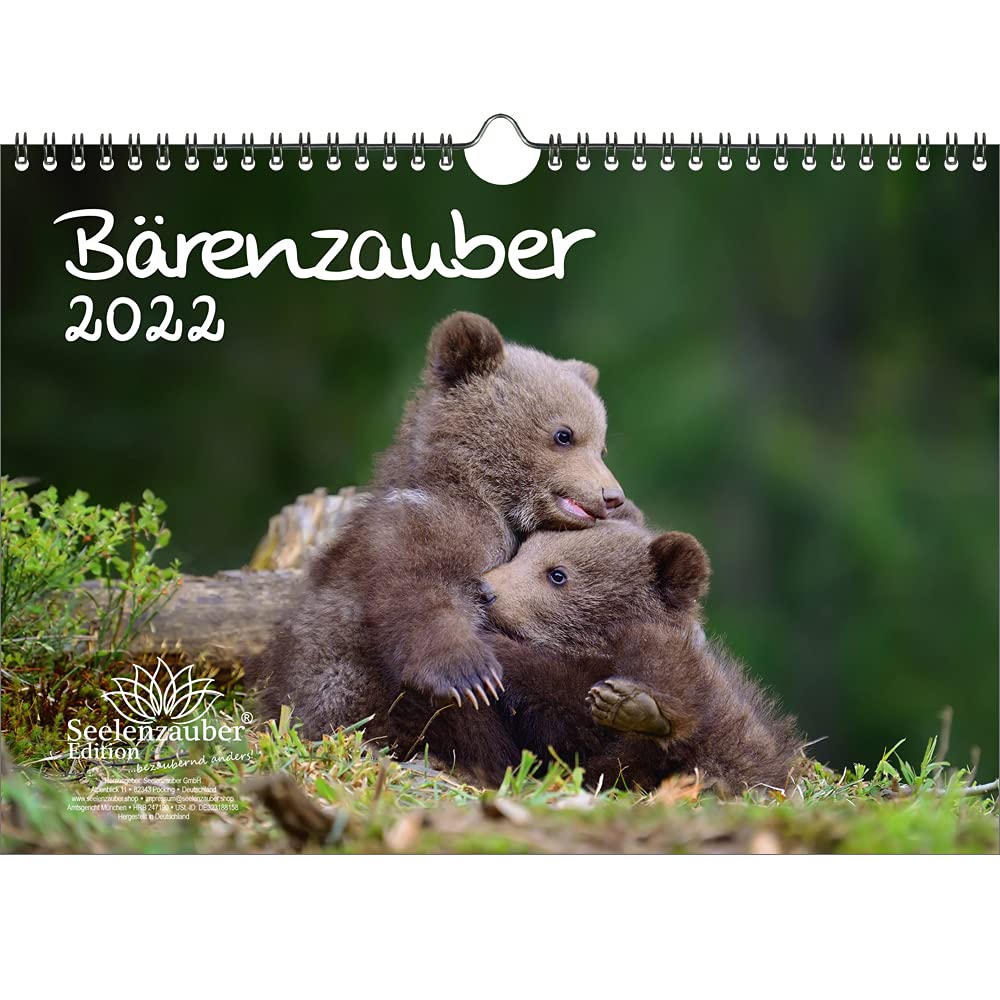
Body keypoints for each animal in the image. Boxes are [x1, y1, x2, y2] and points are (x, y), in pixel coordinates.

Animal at [246, 311, 626, 784]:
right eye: (564, 434)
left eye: (603, 445)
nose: (612, 495)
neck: (488, 497)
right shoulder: (419, 531)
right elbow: (420, 593)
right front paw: (470, 673)